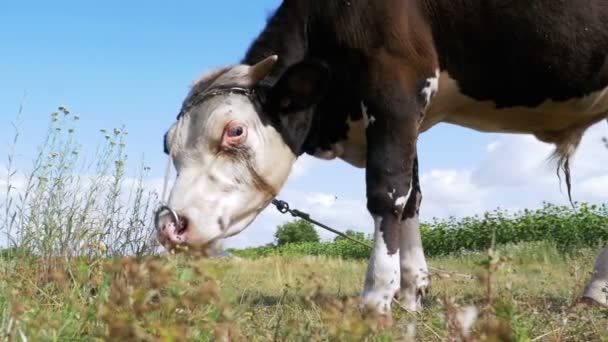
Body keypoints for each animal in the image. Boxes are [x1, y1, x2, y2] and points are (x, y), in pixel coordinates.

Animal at [157, 0, 608, 316]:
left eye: (234, 131)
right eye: (167, 144)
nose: (170, 226)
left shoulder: (395, 89)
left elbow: (386, 191)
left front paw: (376, 296)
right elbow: (411, 199)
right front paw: (410, 293)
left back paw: (596, 290)